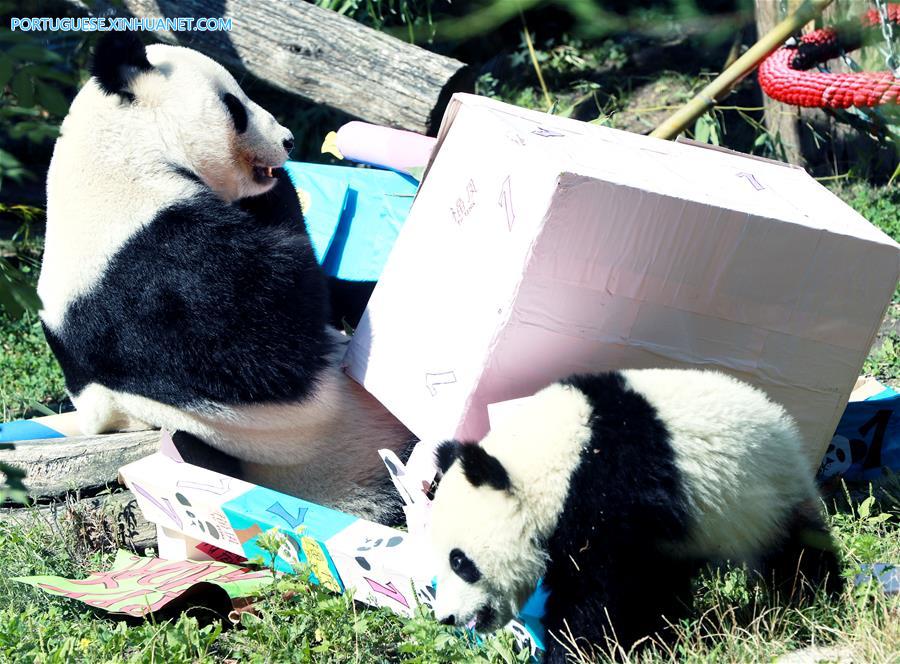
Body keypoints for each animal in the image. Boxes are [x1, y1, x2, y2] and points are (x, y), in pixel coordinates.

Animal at [37, 32, 412, 524]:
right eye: (235, 105)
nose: (288, 140)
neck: (123, 155)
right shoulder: (152, 274)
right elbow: (276, 337)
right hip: (350, 458)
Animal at [428, 368, 844, 660]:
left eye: (460, 562)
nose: (446, 618)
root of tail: (781, 420)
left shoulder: (612, 492)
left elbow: (599, 594)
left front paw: (575, 650)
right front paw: (645, 640)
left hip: (761, 496)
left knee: (796, 554)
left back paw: (813, 603)